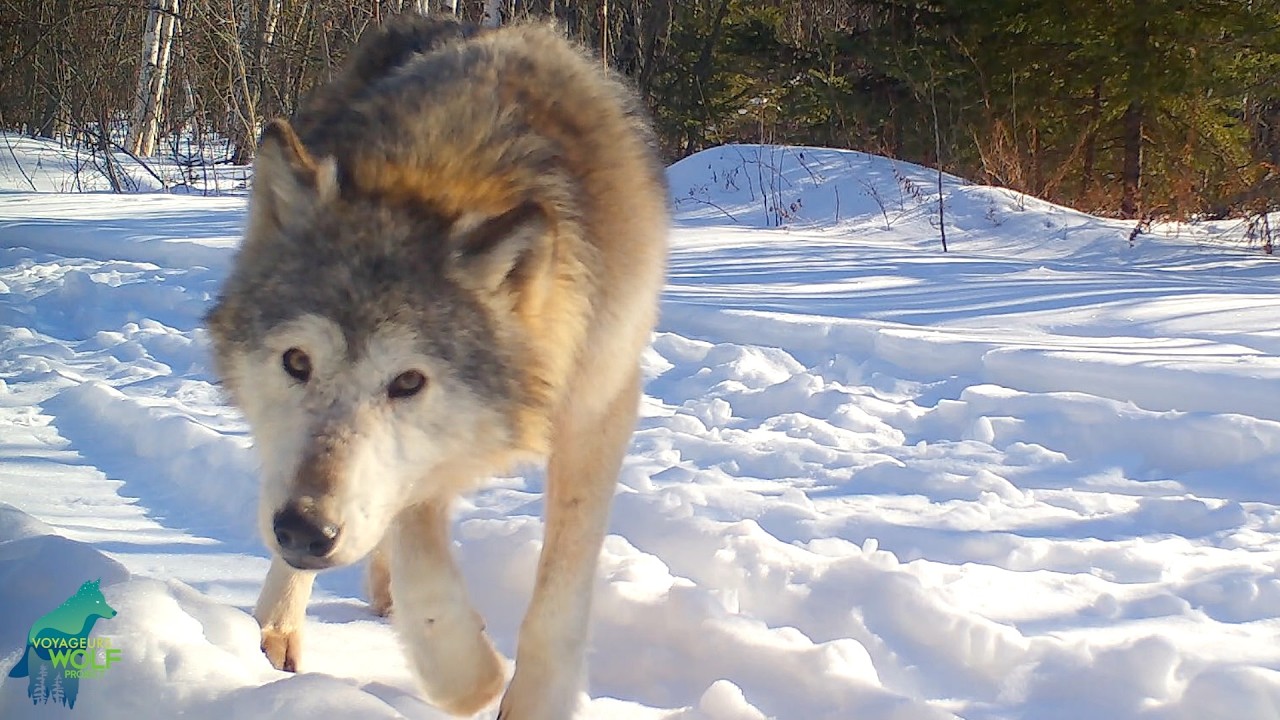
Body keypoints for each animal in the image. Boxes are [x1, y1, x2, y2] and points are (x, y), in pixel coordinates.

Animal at [205, 12, 668, 720]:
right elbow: (423, 566)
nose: (305, 532)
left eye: (408, 382)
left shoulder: (601, 408)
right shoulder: (397, 479)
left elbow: (559, 596)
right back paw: (277, 630)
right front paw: (467, 675)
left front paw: (532, 700)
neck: (447, 167)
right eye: (296, 360)